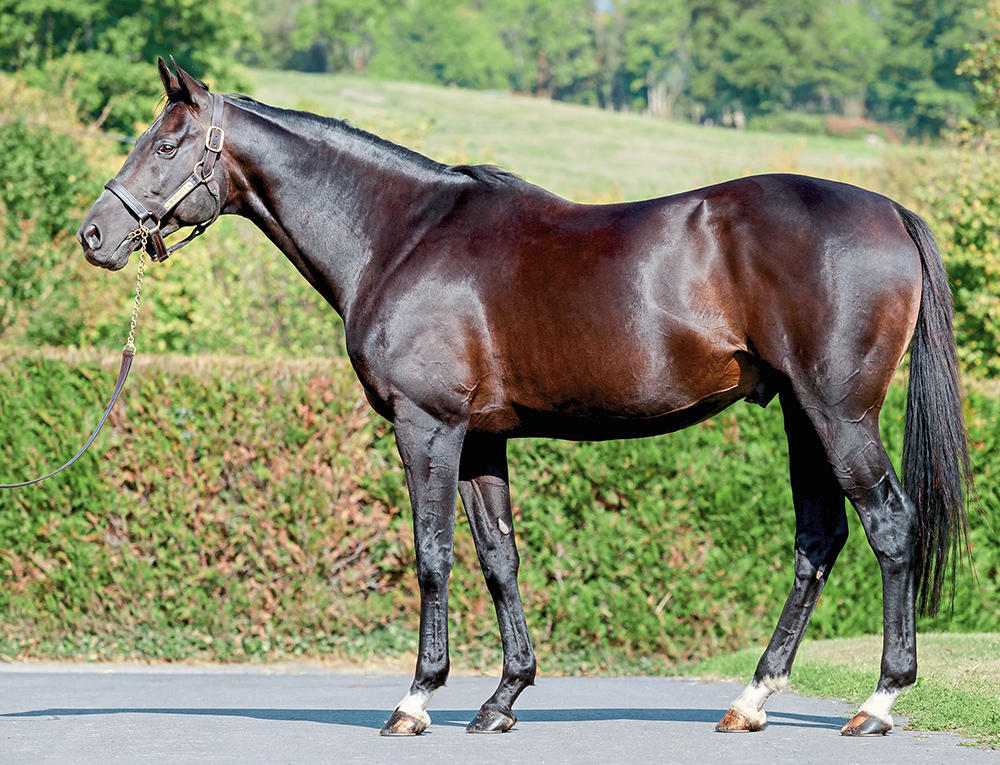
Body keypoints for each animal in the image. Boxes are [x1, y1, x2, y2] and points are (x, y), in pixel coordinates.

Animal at [76, 59, 968, 740]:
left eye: (166, 143)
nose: (94, 235)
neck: (400, 236)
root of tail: (888, 210)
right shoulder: (480, 439)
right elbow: (499, 558)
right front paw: (503, 697)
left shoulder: (427, 428)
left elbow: (433, 556)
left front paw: (416, 700)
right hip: (798, 412)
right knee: (819, 540)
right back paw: (751, 699)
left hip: (837, 411)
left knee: (889, 526)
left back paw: (878, 701)